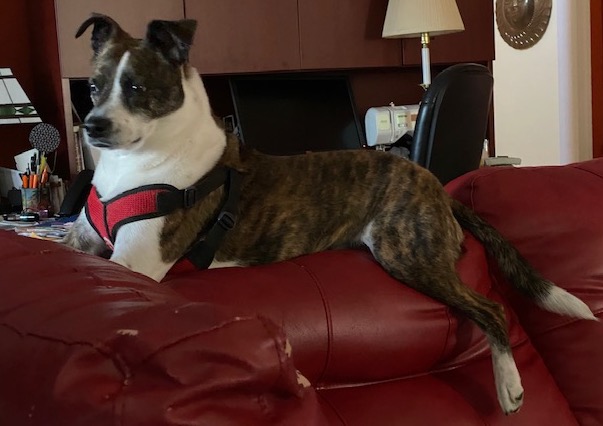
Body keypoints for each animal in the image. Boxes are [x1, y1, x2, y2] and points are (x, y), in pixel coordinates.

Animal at [63, 15, 596, 414]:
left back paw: (509, 386)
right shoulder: (82, 241)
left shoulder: (137, 262)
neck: (133, 164)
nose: (92, 127)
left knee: (491, 309)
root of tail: (433, 186)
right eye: (92, 87)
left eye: (136, 87)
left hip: (408, 254)